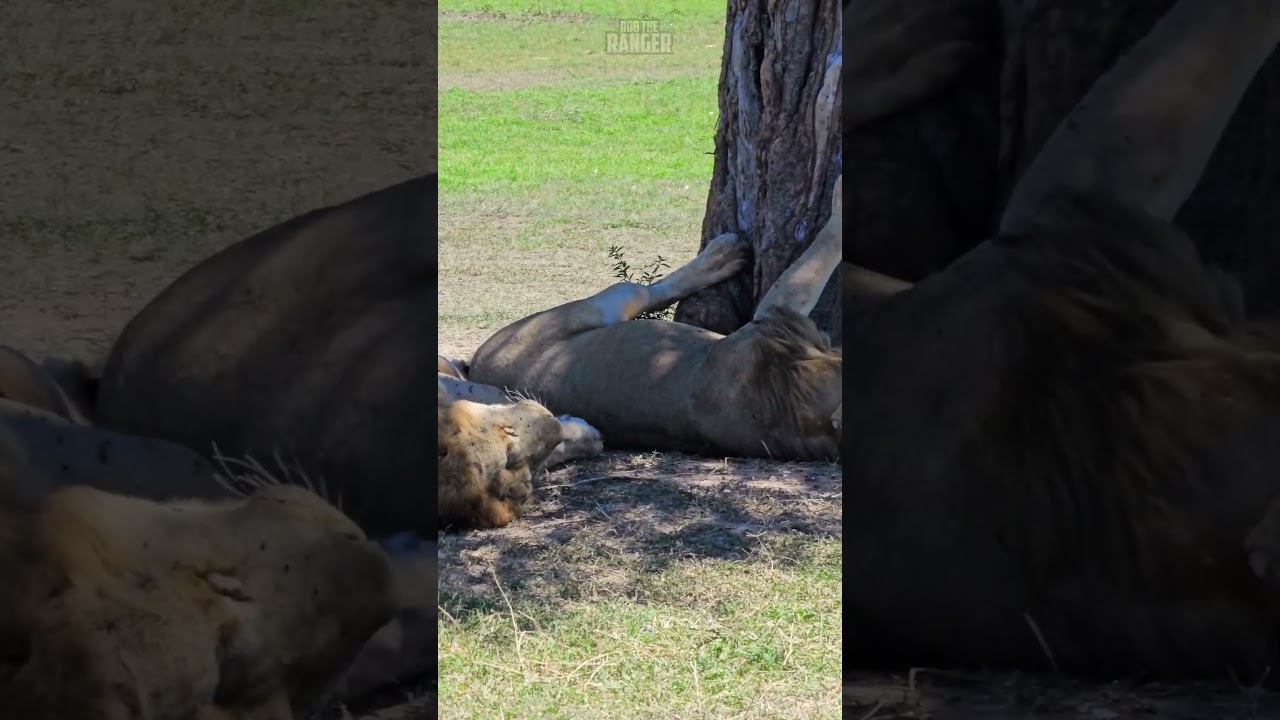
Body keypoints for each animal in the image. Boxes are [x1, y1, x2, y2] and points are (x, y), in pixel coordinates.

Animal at [466, 182, 843, 463]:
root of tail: (479, 366)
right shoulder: (775, 313)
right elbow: (822, 249)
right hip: (599, 307)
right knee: (641, 290)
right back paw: (723, 255)